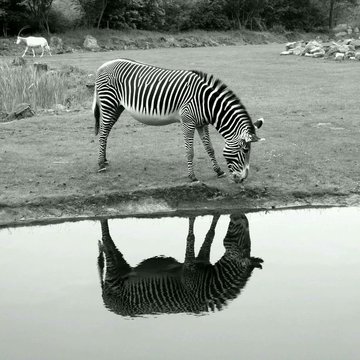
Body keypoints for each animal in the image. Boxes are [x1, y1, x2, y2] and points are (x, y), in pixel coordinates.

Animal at [91, 59, 262, 184]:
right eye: (245, 150)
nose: (242, 179)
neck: (207, 103)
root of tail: (104, 65)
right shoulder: (187, 122)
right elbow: (190, 151)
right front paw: (192, 176)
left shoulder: (202, 123)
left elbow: (210, 148)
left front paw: (219, 171)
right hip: (109, 103)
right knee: (103, 133)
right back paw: (100, 164)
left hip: (117, 107)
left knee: (106, 132)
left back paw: (104, 160)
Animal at [97, 212, 262, 316]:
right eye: (246, 245)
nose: (240, 216)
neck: (210, 282)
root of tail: (106, 303)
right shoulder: (189, 269)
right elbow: (191, 237)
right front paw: (193, 218)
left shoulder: (202, 260)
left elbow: (210, 234)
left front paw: (216, 215)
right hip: (114, 272)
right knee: (106, 239)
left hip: (120, 266)